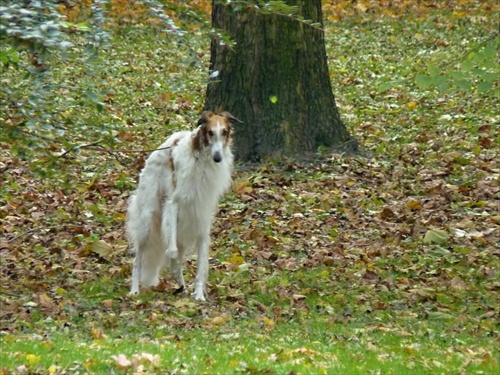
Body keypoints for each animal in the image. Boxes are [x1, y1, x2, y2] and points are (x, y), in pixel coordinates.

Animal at [128, 110, 239, 302]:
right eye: (210, 132)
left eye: (224, 132)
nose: (218, 158)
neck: (201, 160)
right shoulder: (173, 203)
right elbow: (171, 251)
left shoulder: (202, 220)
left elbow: (200, 266)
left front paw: (199, 294)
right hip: (147, 222)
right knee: (138, 260)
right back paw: (135, 290)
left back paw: (182, 287)